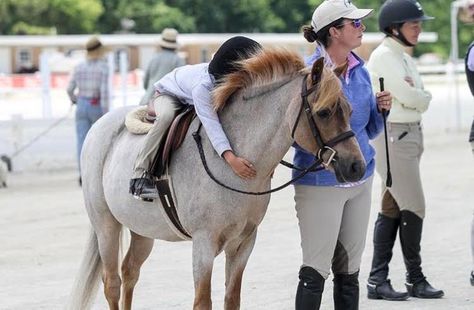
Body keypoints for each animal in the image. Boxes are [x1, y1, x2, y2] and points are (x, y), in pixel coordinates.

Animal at [70, 49, 366, 310]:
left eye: (350, 110)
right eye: (324, 112)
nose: (356, 167)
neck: (234, 161)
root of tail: (102, 123)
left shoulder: (243, 243)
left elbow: (232, 298)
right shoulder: (204, 245)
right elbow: (203, 301)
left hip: (142, 229)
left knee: (130, 271)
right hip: (106, 226)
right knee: (112, 283)